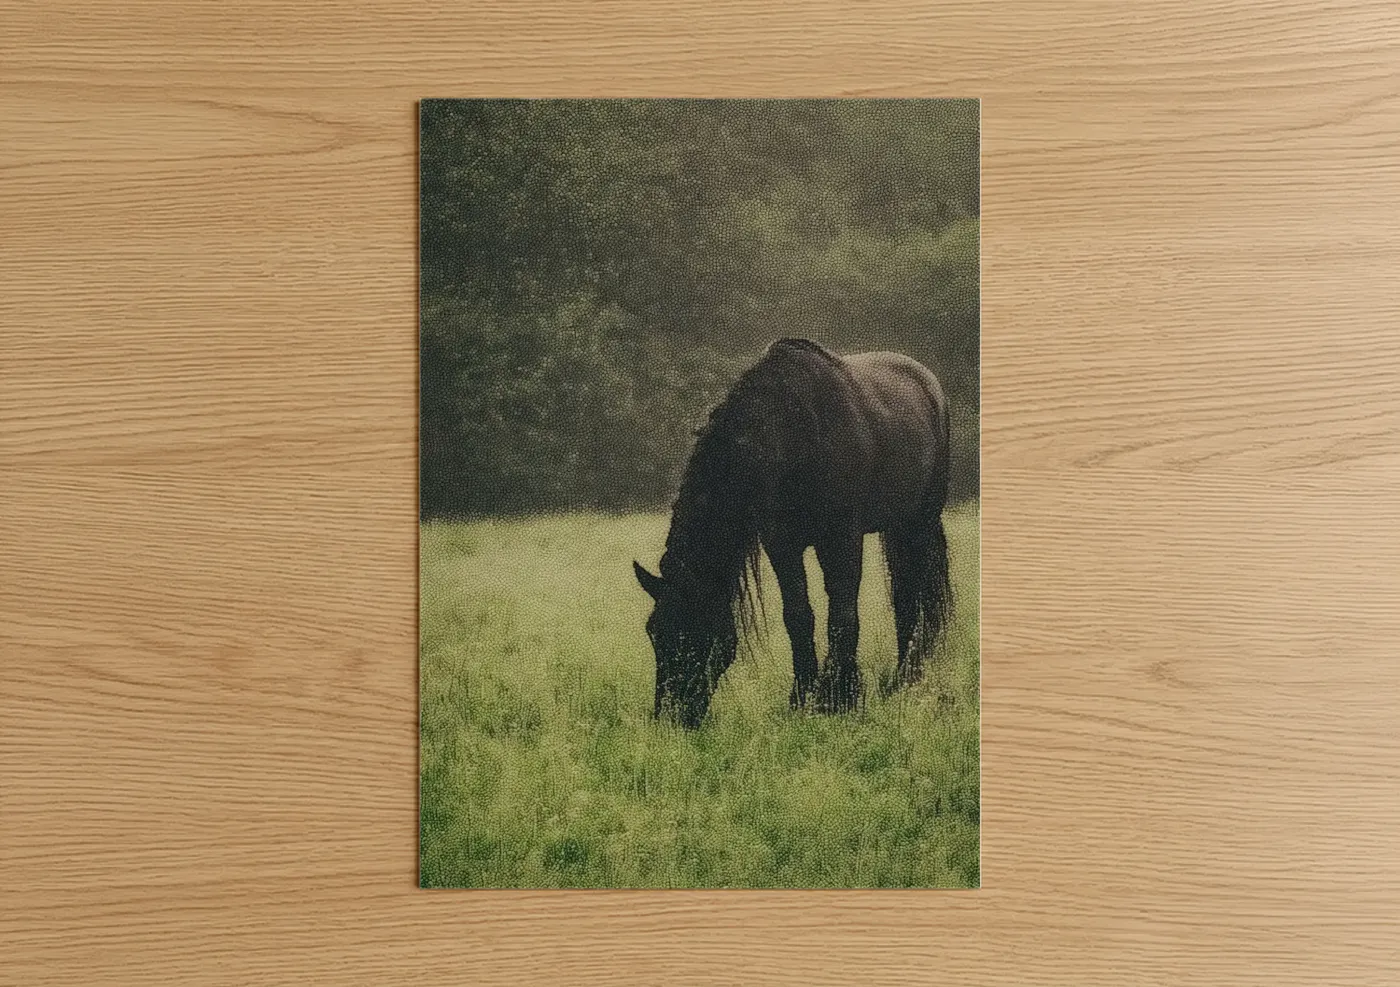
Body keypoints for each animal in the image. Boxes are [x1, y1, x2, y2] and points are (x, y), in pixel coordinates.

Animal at [633, 337, 952, 728]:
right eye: (654, 633)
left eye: (691, 631)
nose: (671, 716)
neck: (793, 437)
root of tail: (928, 383)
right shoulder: (781, 544)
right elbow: (798, 616)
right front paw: (802, 698)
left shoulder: (841, 538)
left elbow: (843, 615)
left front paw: (840, 698)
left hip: (920, 522)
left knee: (913, 596)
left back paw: (908, 679)